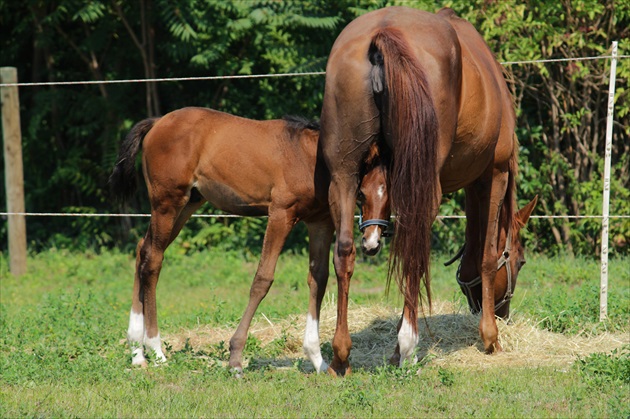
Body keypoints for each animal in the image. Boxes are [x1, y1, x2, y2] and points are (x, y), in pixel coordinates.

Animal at [111, 106, 392, 376]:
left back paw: (137, 352)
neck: (312, 161)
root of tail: (157, 122)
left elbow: (318, 279)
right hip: (167, 203)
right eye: (362, 193)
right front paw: (235, 359)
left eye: (390, 195)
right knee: (153, 261)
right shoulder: (280, 214)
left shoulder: (319, 222)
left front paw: (318, 361)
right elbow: (262, 279)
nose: (372, 243)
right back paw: (156, 350)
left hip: (188, 204)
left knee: (142, 250)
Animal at [320, 5, 540, 378]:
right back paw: (407, 347)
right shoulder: (493, 174)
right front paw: (490, 338)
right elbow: (486, 256)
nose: (503, 314)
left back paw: (341, 356)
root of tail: (383, 33)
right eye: (521, 261)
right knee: (412, 249)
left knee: (345, 251)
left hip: (344, 176)